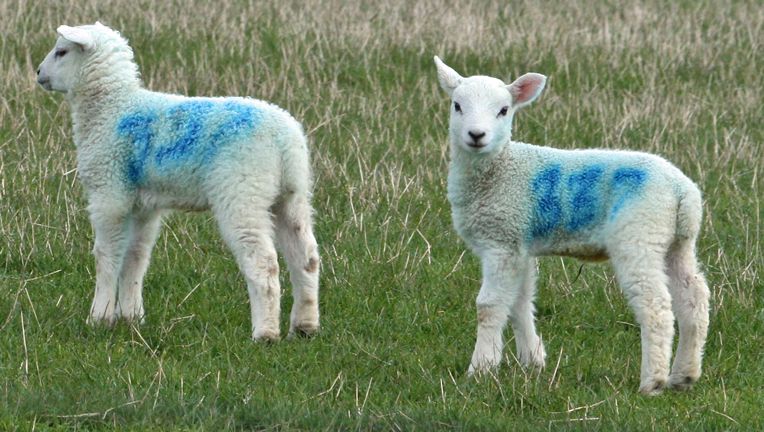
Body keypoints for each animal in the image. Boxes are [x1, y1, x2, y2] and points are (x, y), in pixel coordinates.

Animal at [36, 22, 321, 341]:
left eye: (61, 51)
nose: (38, 73)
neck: (112, 108)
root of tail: (285, 139)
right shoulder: (144, 206)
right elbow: (136, 256)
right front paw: (131, 317)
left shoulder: (109, 193)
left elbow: (106, 256)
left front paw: (99, 317)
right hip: (292, 195)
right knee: (306, 257)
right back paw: (305, 326)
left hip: (243, 191)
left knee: (263, 262)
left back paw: (265, 333)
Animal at [433, 56, 710, 395]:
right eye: (457, 105)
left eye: (503, 110)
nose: (476, 135)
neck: (501, 169)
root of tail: (684, 192)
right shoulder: (519, 242)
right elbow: (521, 302)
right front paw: (533, 361)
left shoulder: (501, 240)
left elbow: (490, 305)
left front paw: (481, 369)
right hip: (677, 241)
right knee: (694, 298)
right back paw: (684, 375)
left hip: (639, 233)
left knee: (655, 305)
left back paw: (652, 381)